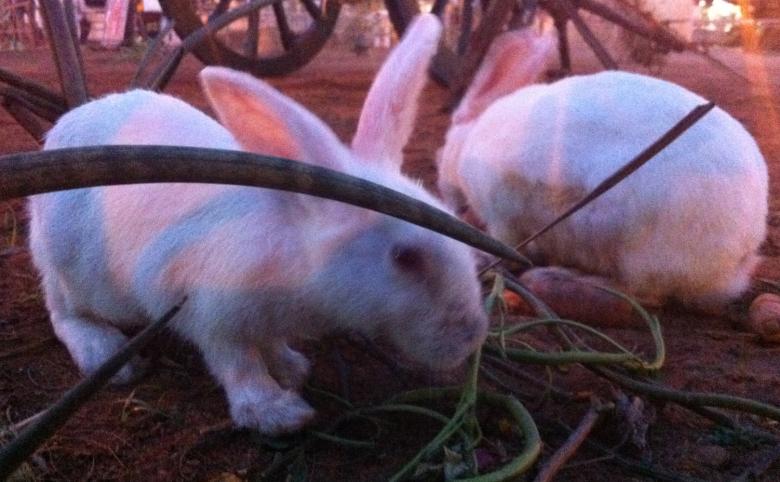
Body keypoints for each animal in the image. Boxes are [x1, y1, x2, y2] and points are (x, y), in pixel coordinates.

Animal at [28, 13, 488, 435]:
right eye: (405, 258)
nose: (473, 335)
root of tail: (63, 129)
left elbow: (268, 344)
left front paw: (291, 367)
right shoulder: (205, 310)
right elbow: (237, 364)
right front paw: (278, 413)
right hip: (81, 274)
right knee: (62, 311)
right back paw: (104, 353)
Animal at [436, 24, 768, 316]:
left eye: (440, 155)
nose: (448, 199)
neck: (470, 141)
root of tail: (738, 257)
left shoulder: (503, 218)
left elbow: (504, 245)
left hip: (637, 250)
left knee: (646, 296)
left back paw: (558, 277)